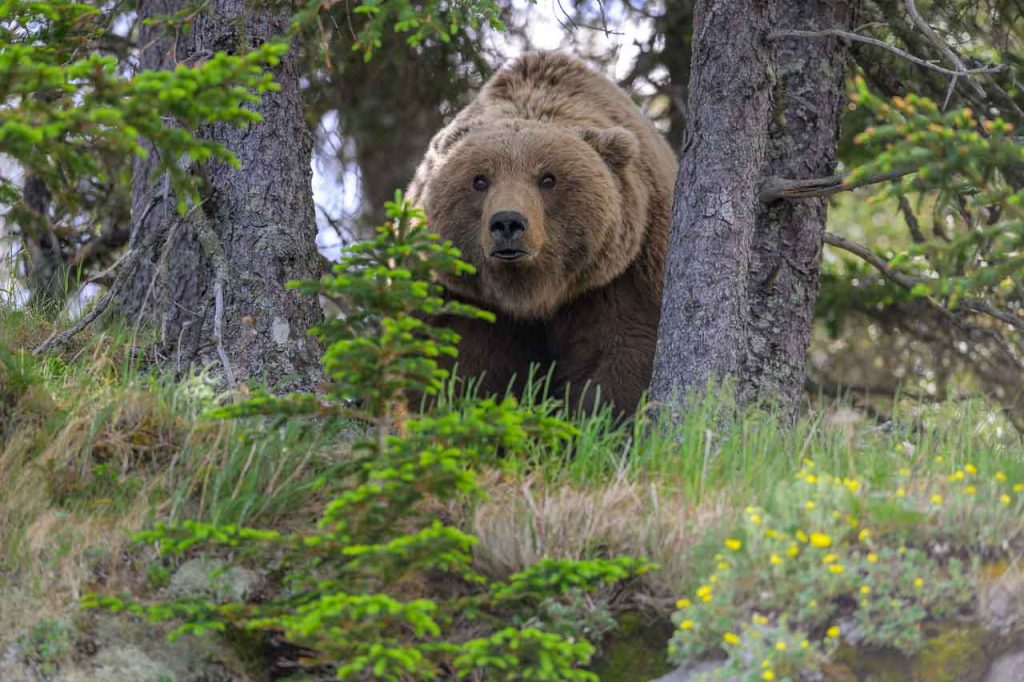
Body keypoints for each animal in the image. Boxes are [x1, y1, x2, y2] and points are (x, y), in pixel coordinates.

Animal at [406, 52, 677, 415]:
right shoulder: (458, 296)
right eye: (480, 179)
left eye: (548, 178)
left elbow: (622, 356)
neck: (533, 295)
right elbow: (452, 367)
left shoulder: (622, 275)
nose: (508, 222)